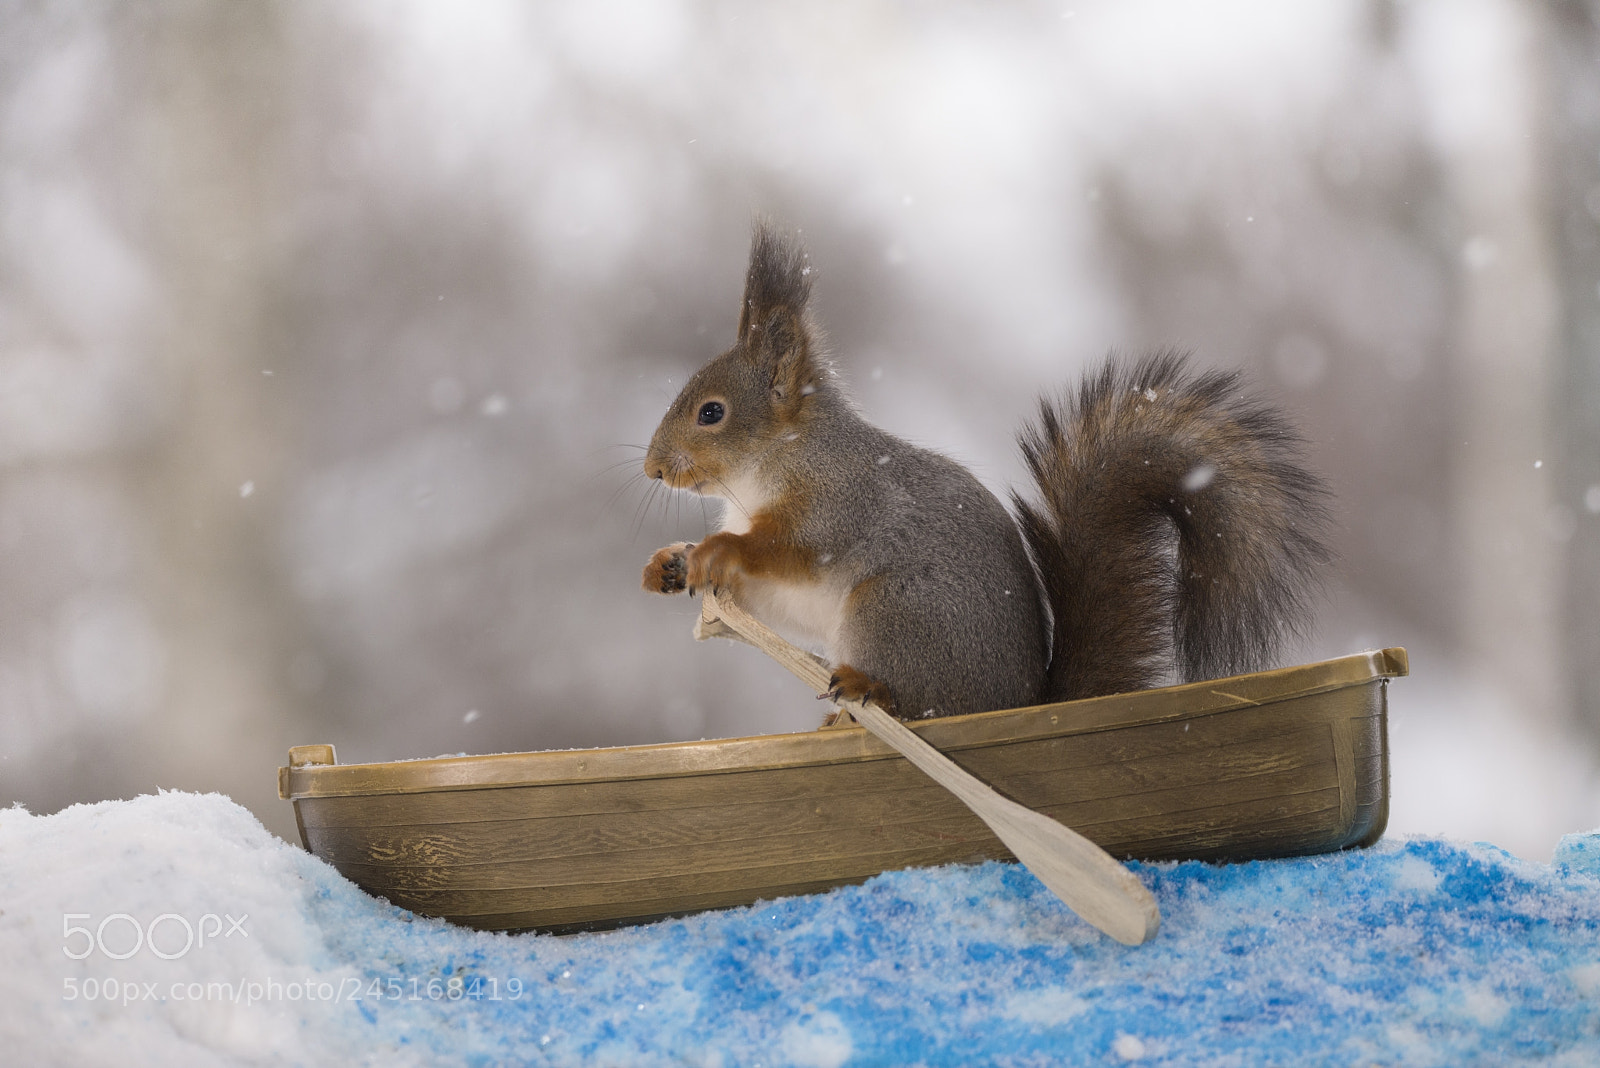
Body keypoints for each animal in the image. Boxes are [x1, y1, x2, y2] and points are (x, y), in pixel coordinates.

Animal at [642, 222, 1330, 721]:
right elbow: (763, 599)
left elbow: (789, 548)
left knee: (921, 701)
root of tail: (1014, 702)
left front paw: (718, 548)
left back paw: (868, 689)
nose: (651, 468)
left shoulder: (842, 504)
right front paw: (672, 563)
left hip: (894, 610)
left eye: (711, 412)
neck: (768, 466)